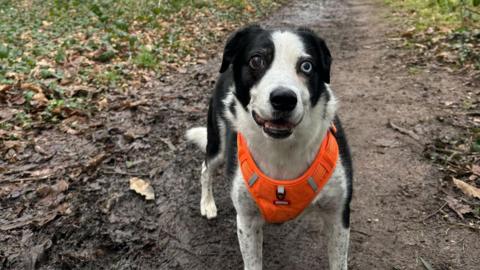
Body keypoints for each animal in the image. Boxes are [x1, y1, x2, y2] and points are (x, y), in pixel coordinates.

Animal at [185, 24, 352, 268]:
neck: (282, 149)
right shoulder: (246, 220)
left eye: (307, 65)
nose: (284, 99)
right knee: (206, 167)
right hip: (218, 142)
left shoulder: (338, 214)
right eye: (257, 60)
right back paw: (207, 203)